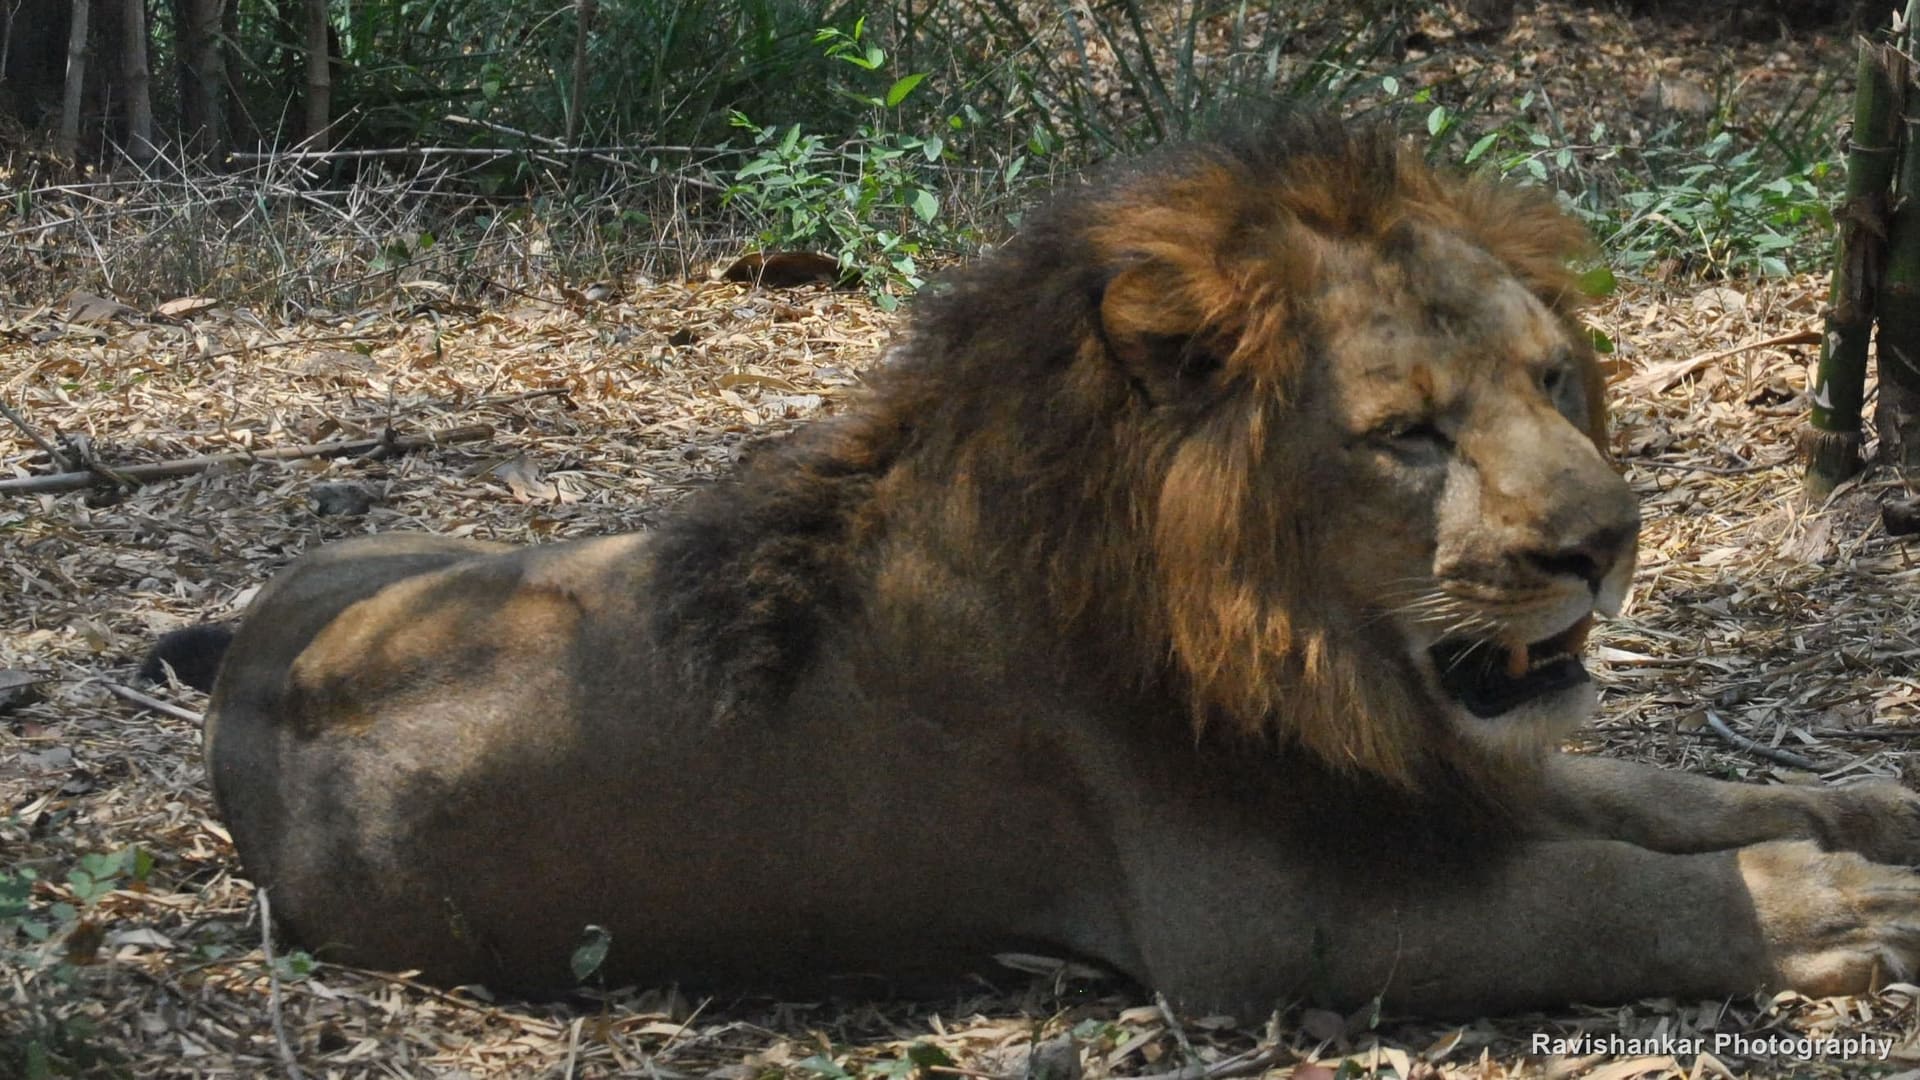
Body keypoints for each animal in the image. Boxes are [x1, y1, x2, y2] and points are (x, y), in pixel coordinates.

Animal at [184, 111, 1920, 1016]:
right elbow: (1589, 894)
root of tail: (246, 658)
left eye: (1553, 381)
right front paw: (1825, 907)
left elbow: (1660, 792)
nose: (1607, 545)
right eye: (1411, 436)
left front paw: (1866, 810)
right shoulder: (1254, 921)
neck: (1304, 646)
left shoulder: (1427, 768)